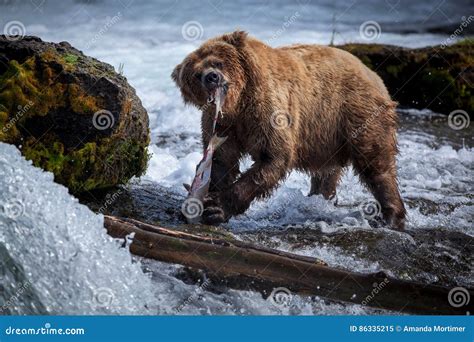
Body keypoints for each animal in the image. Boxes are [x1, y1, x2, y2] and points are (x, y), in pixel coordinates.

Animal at [172, 31, 406, 230]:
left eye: (217, 62)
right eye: (196, 74)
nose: (212, 77)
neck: (237, 105)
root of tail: (374, 75)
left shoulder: (268, 110)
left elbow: (274, 156)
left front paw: (216, 208)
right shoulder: (223, 124)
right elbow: (222, 160)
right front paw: (207, 200)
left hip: (356, 112)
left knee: (375, 164)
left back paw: (391, 216)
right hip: (327, 137)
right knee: (327, 173)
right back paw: (319, 200)